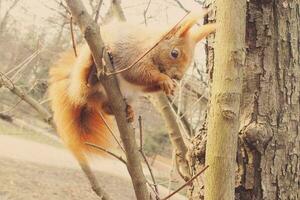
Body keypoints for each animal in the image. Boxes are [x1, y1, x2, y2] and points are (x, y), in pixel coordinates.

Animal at [48, 10, 214, 162]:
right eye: (174, 53)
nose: (178, 77)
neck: (150, 46)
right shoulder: (132, 55)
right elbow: (137, 73)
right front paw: (165, 80)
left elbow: (146, 85)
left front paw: (171, 85)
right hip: (84, 72)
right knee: (85, 84)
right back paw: (93, 74)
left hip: (123, 97)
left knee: (104, 107)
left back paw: (128, 110)